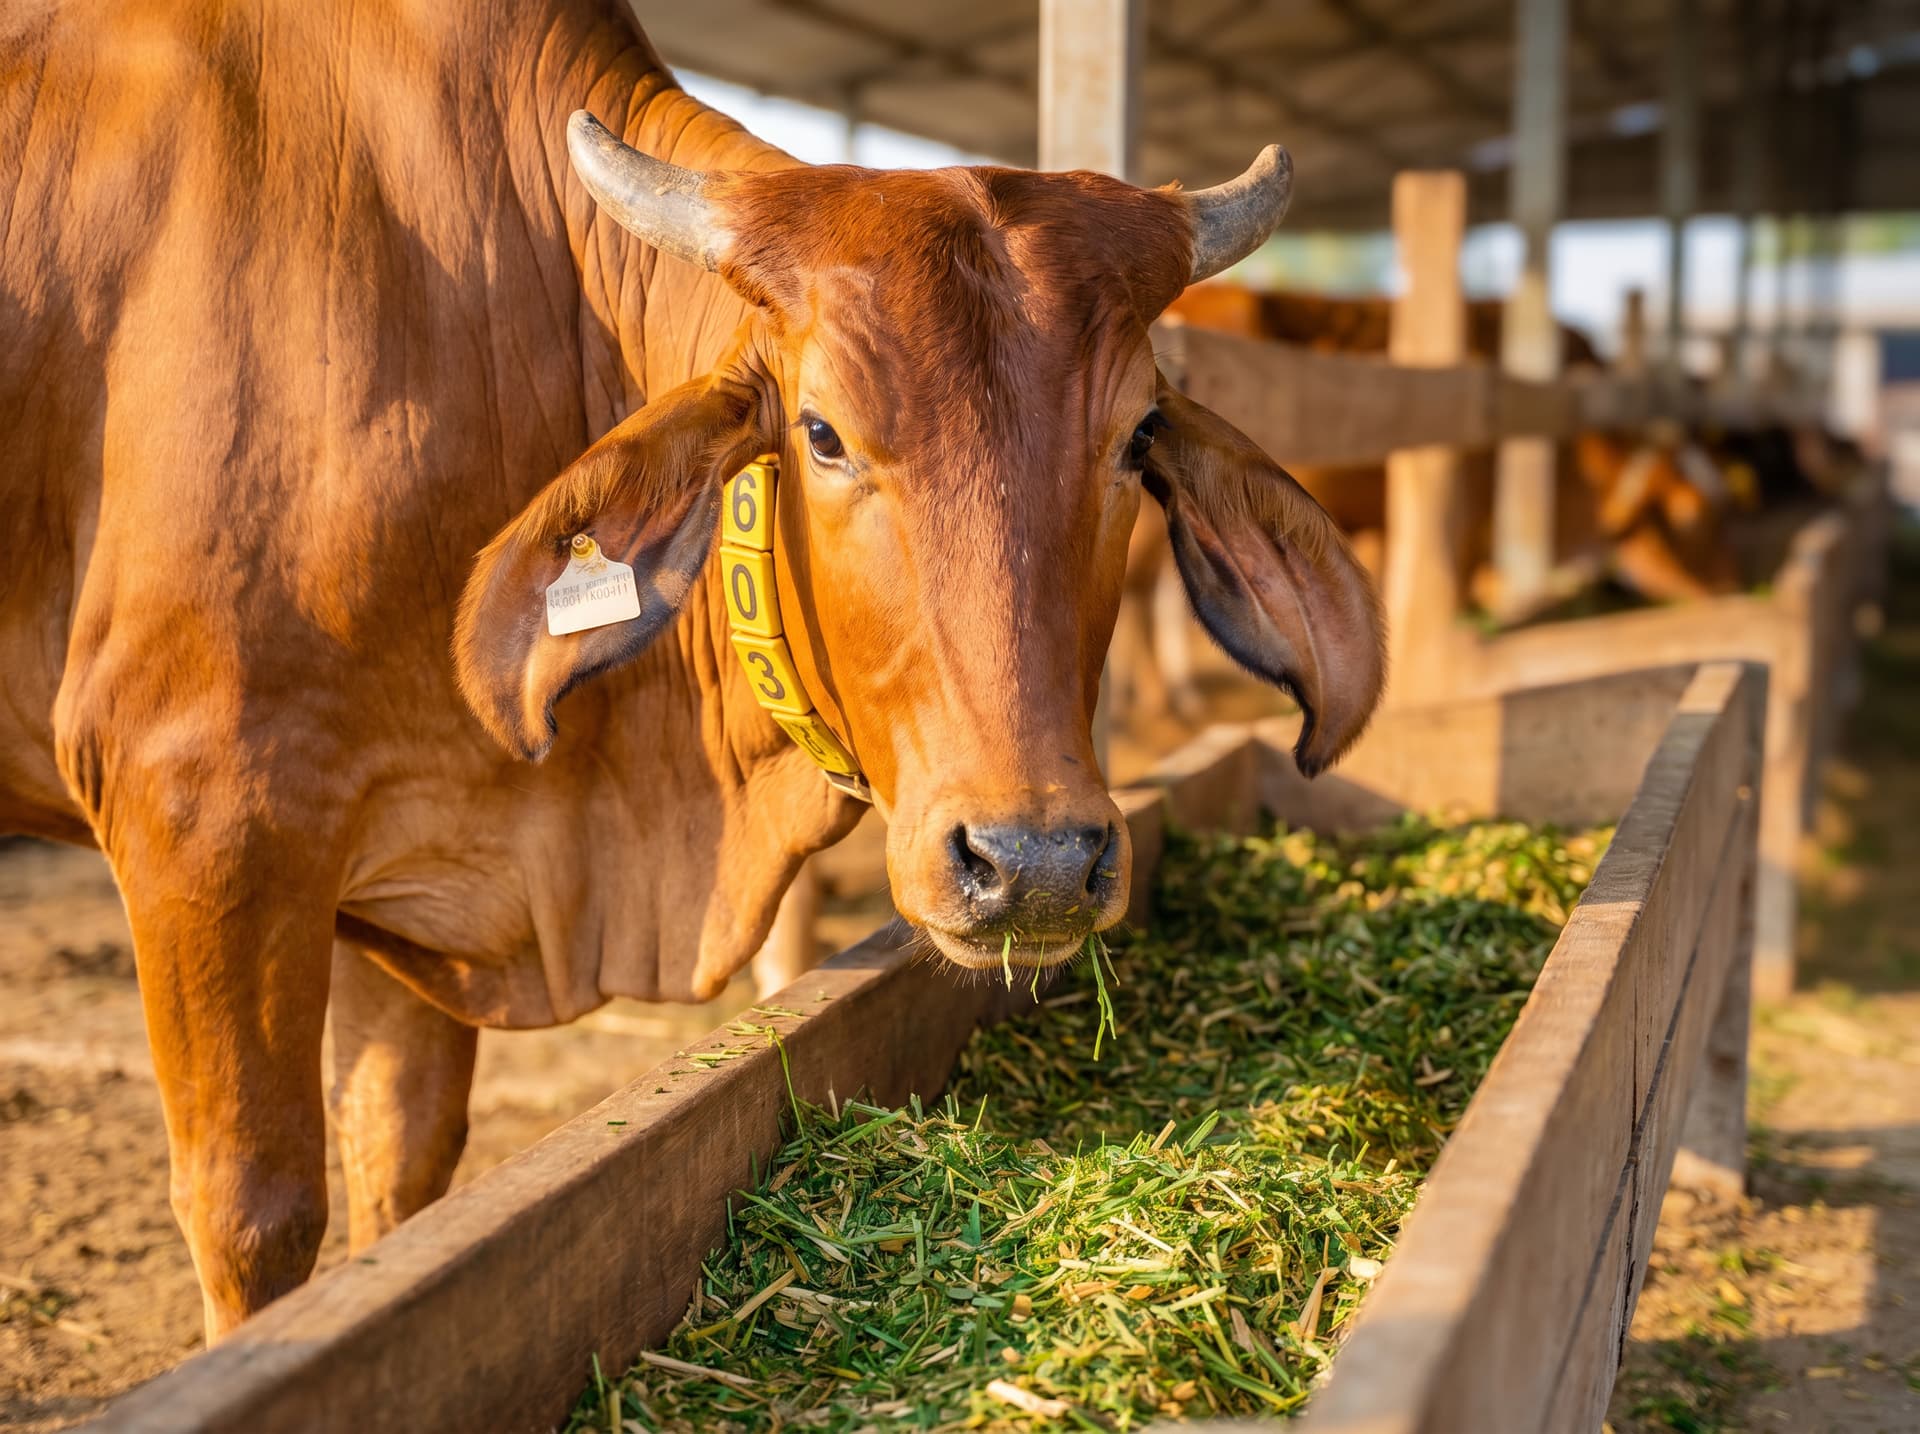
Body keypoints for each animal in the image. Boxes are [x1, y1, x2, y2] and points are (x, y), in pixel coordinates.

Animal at [0, 0, 1383, 1336]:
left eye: (1138, 433)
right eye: (821, 432)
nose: (1036, 862)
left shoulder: (402, 873)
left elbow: (400, 1169)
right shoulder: (203, 824)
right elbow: (255, 1219)